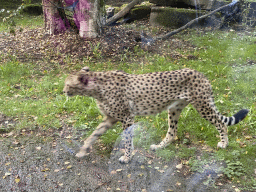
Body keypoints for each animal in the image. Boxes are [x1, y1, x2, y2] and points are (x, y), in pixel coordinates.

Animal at [63, 66, 249, 164]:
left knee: (221, 123)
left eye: (67, 84)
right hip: (174, 108)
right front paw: (82, 151)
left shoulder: (126, 118)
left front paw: (127, 157)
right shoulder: (110, 118)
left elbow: (127, 139)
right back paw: (160, 146)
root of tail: (199, 73)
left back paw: (224, 143)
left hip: (202, 105)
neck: (96, 87)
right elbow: (94, 134)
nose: (63, 91)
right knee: (172, 132)